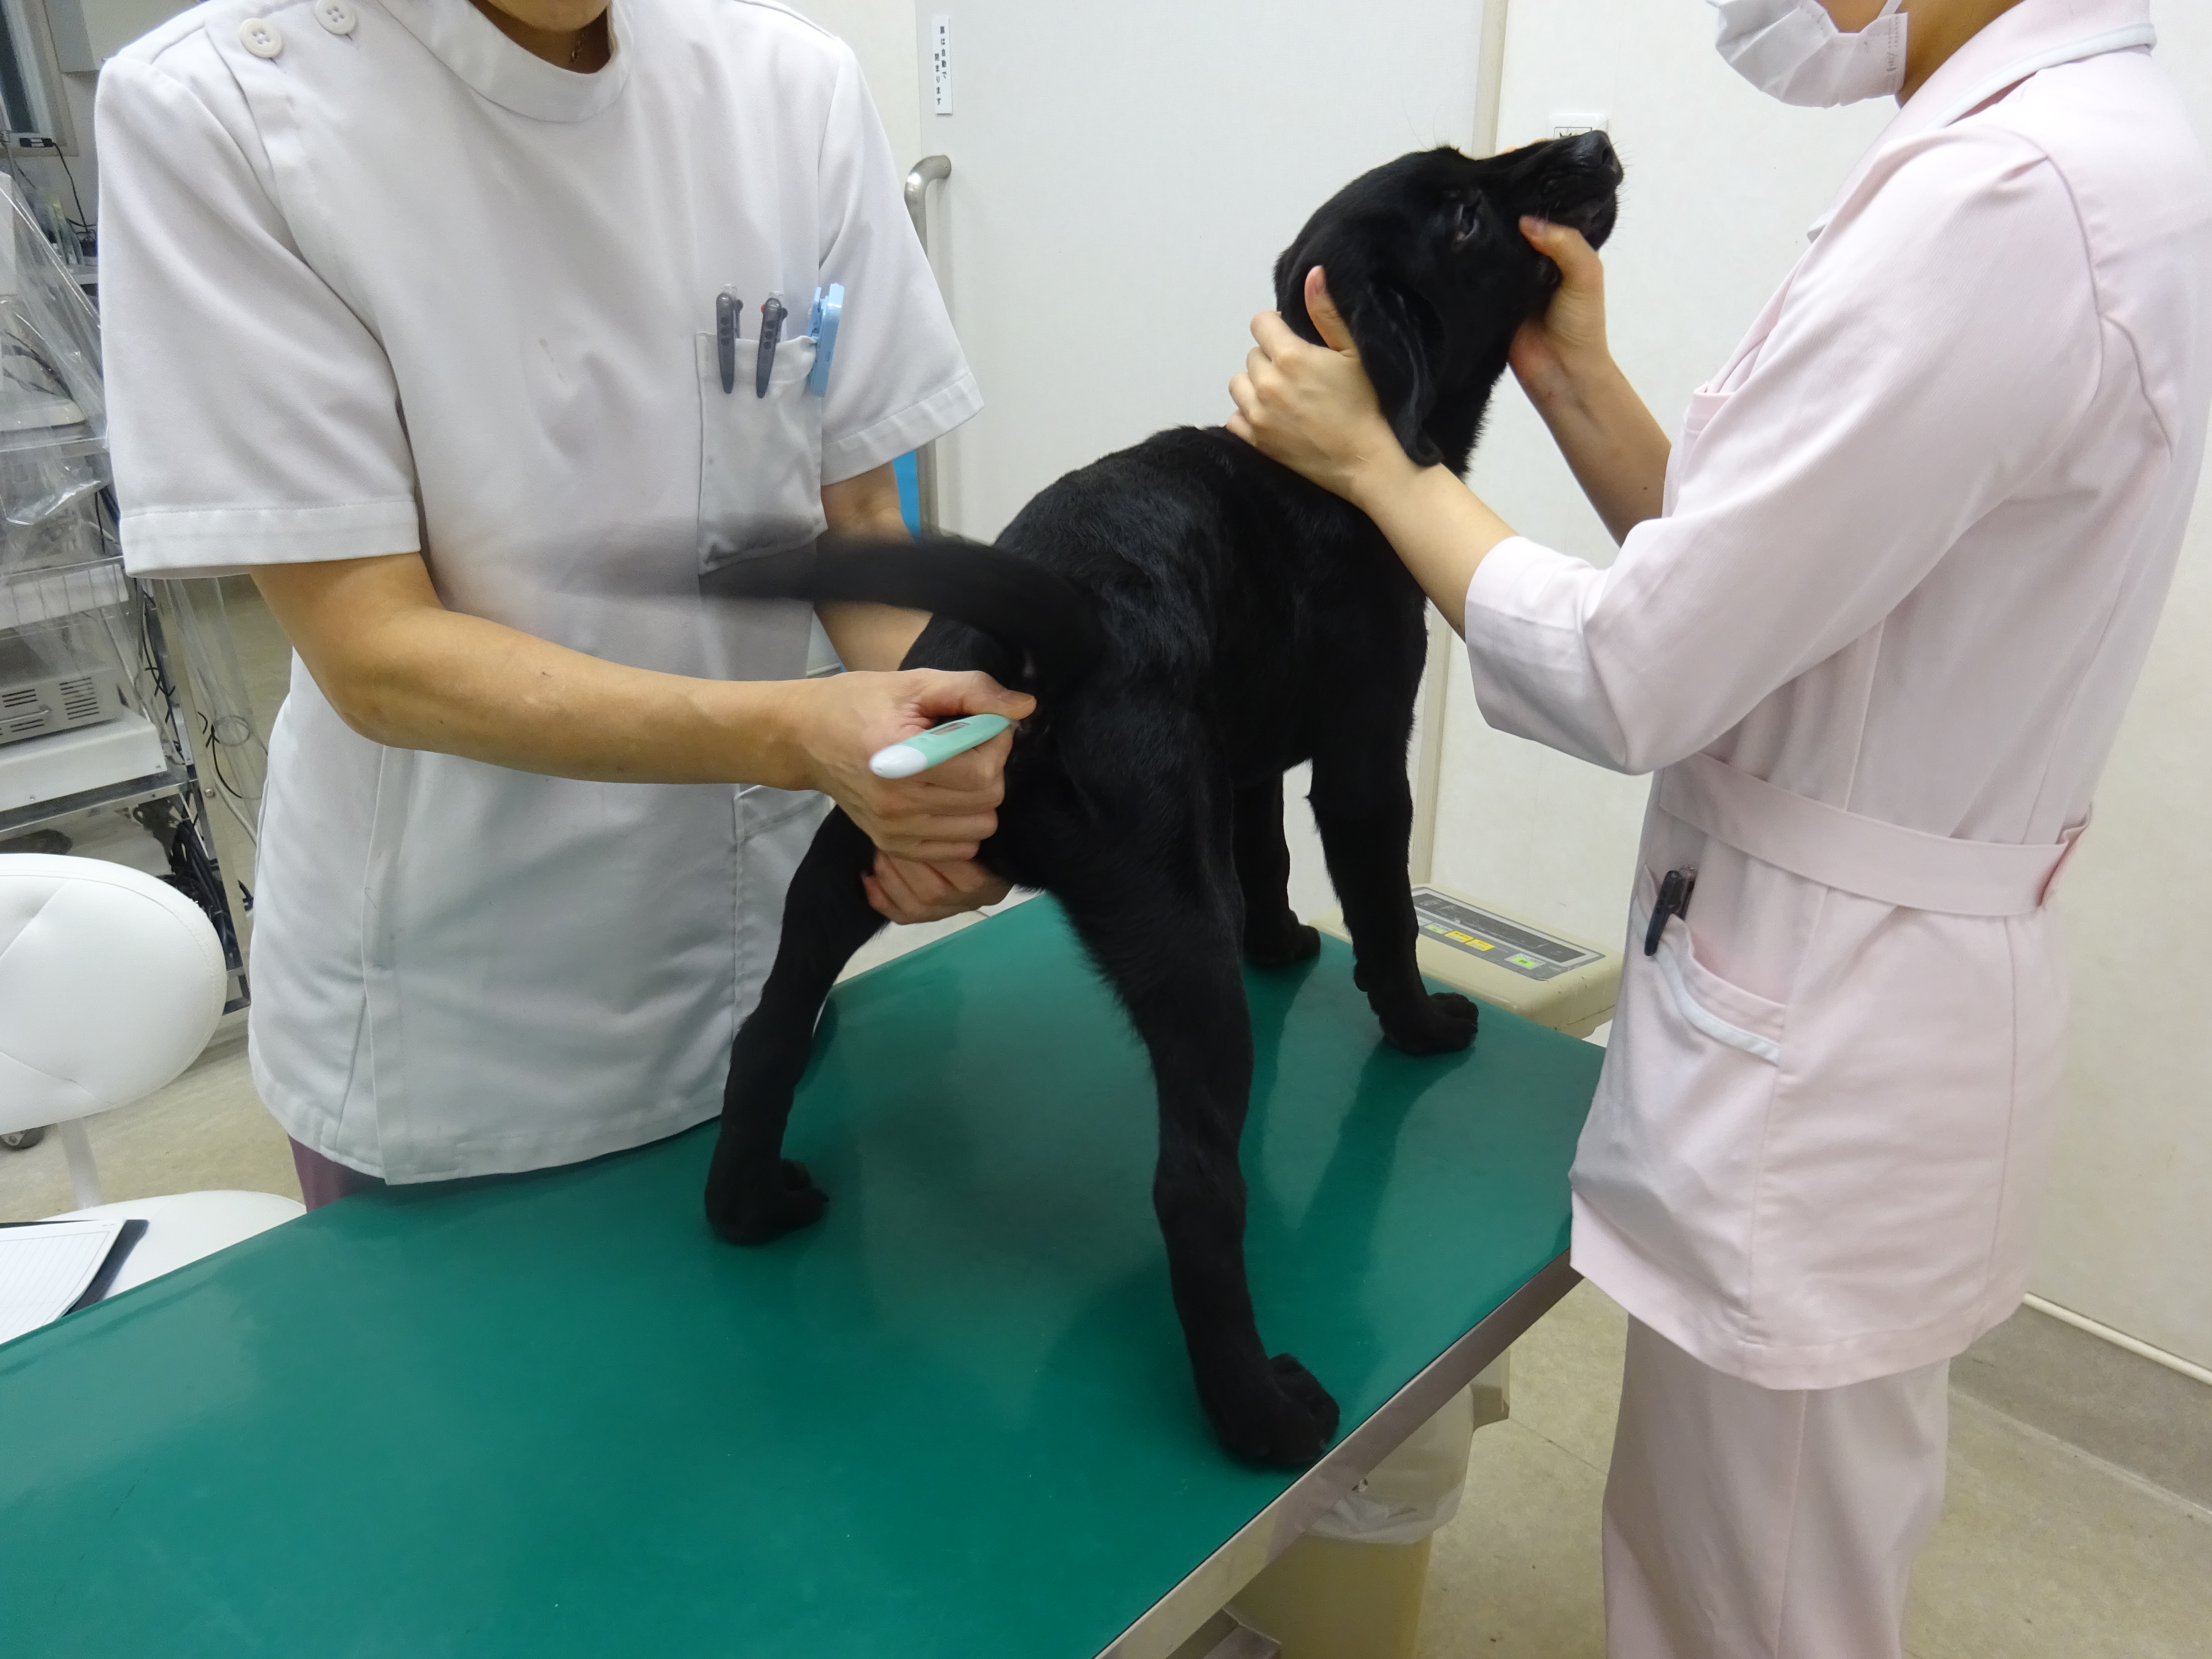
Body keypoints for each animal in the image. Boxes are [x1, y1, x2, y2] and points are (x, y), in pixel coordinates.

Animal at [704, 133, 1623, 1467]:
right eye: (1460, 213)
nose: (1593, 145)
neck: (1318, 470)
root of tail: (1045, 630)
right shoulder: (1363, 759)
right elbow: (1386, 912)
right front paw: (1415, 1020)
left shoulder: (1242, 763)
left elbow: (1268, 855)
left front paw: (1281, 940)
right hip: (1175, 945)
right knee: (1192, 1188)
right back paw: (1259, 1411)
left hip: (838, 866)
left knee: (768, 1030)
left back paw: (745, 1203)